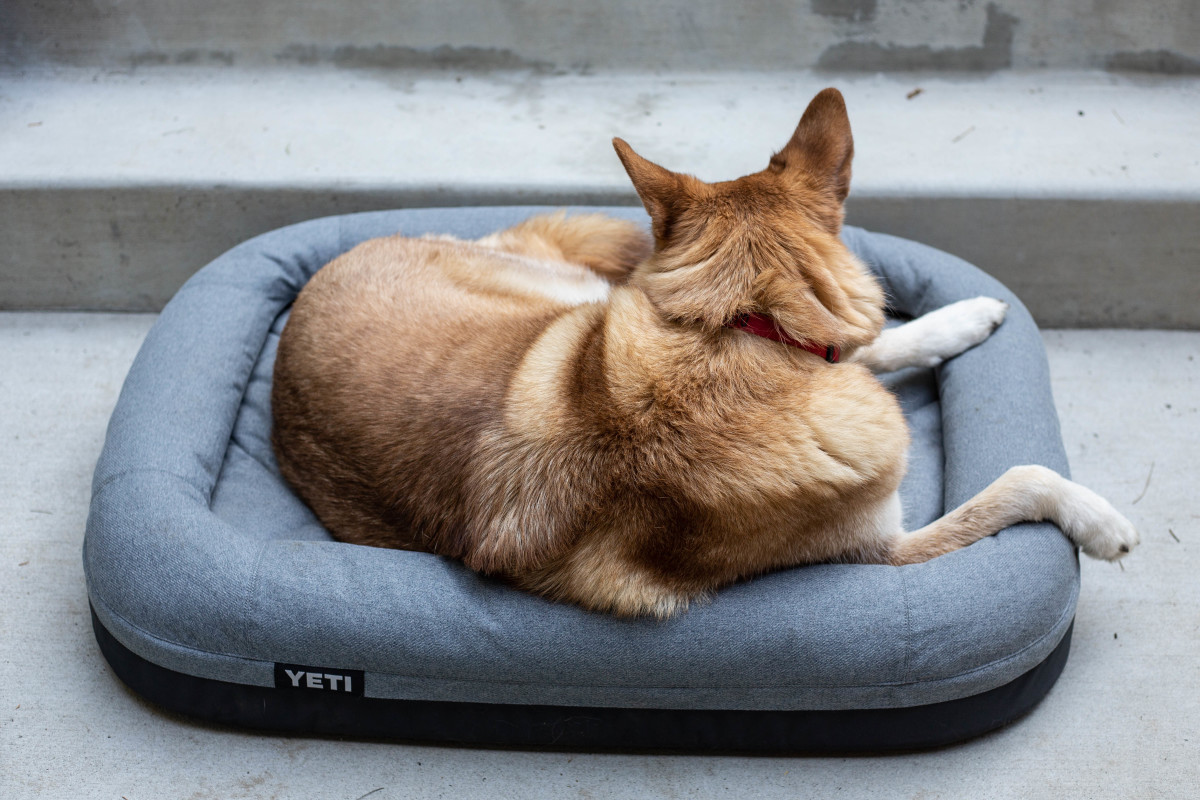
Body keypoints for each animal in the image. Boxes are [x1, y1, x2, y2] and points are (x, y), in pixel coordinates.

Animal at [270, 89, 1132, 618]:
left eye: (744, 342)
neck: (744, 333)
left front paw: (957, 321)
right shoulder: (883, 552)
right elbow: (1022, 479)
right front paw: (1097, 520)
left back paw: (964, 316)